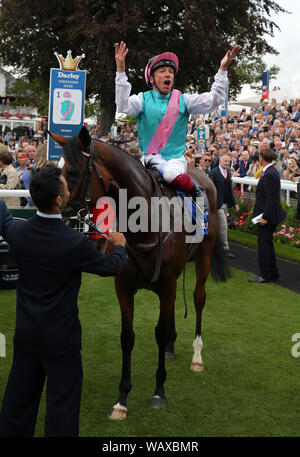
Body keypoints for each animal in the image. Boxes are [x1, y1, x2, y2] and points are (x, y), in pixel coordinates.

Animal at [50, 126, 230, 418]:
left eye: (74, 173)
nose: (59, 215)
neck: (145, 223)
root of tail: (205, 175)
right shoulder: (124, 286)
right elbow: (128, 336)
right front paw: (122, 398)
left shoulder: (166, 284)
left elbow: (160, 332)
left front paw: (159, 392)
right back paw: (171, 349)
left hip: (203, 257)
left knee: (198, 298)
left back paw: (197, 356)